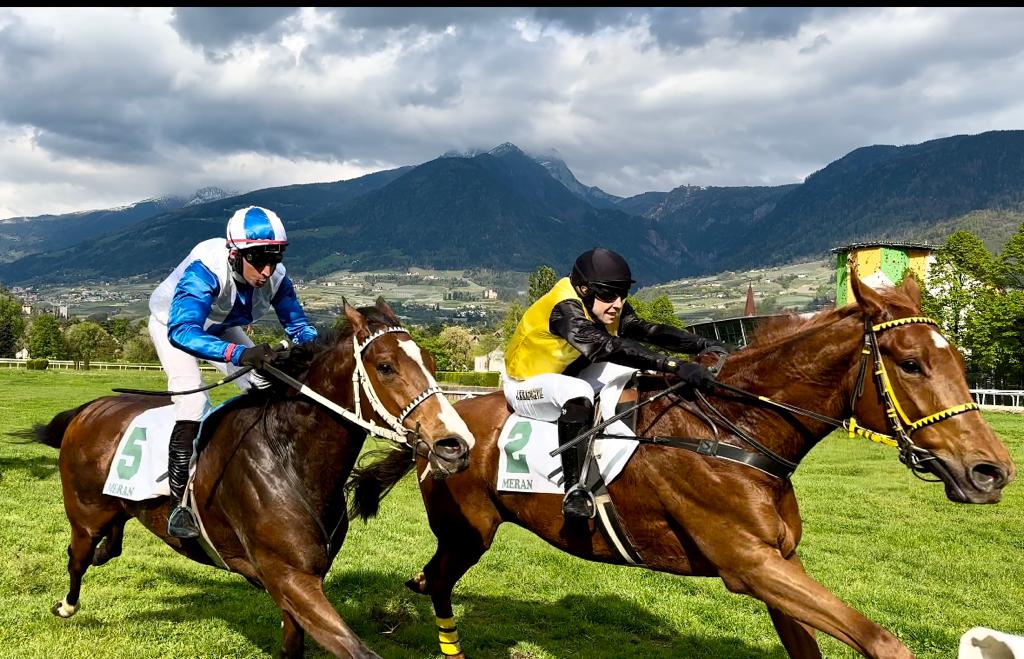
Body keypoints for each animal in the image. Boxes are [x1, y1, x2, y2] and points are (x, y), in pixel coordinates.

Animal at [27, 300, 475, 659]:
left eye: (432, 363)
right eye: (385, 367)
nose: (456, 444)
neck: (289, 457)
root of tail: (88, 409)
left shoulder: (300, 583)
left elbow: (294, 645)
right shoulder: (289, 576)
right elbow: (356, 650)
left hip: (120, 503)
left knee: (111, 538)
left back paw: (106, 551)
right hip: (84, 512)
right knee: (77, 555)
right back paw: (67, 604)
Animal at [350, 272, 1015, 659]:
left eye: (958, 359)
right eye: (911, 363)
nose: (992, 471)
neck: (736, 429)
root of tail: (438, 424)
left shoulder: (781, 562)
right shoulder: (749, 565)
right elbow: (882, 641)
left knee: (429, 580)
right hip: (469, 531)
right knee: (437, 581)